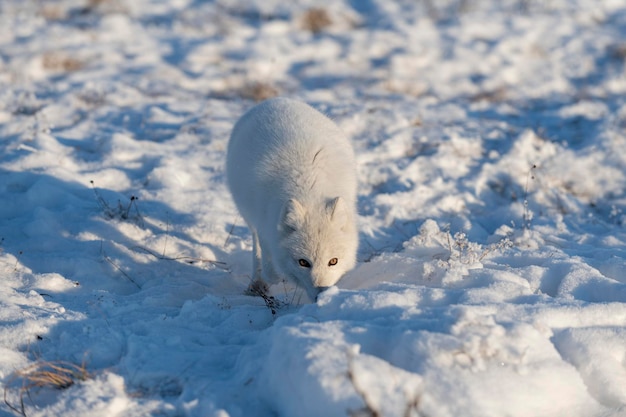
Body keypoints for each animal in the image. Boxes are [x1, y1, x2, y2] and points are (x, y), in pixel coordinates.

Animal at [227, 97, 358, 300]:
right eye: (303, 262)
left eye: (333, 261)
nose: (322, 297)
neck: (308, 186)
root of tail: (276, 100)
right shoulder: (265, 222)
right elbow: (269, 262)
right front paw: (273, 276)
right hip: (248, 214)